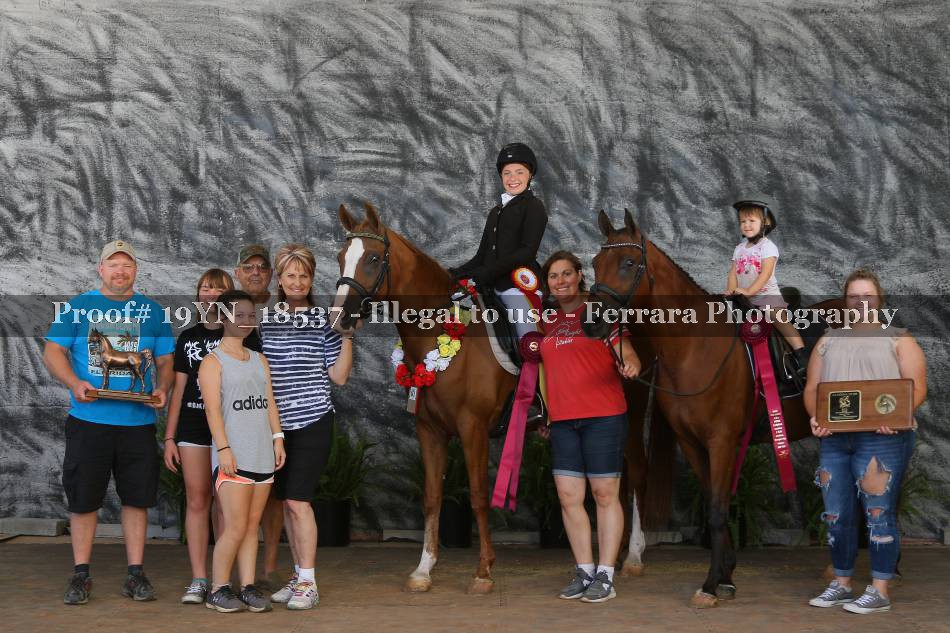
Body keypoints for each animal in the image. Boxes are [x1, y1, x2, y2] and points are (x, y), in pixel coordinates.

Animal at [582, 209, 837, 607]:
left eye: (628, 263)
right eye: (595, 263)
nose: (592, 322)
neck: (695, 347)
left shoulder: (721, 442)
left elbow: (717, 510)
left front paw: (711, 584)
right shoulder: (692, 442)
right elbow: (714, 503)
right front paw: (727, 576)